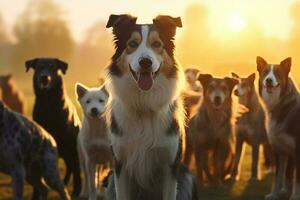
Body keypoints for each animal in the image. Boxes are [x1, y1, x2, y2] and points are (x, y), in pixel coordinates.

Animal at [25, 57, 82, 197]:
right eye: (39, 67)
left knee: (74, 169)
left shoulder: (70, 146)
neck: (48, 105)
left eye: (52, 67)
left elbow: (76, 172)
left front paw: (76, 191)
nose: (44, 77)